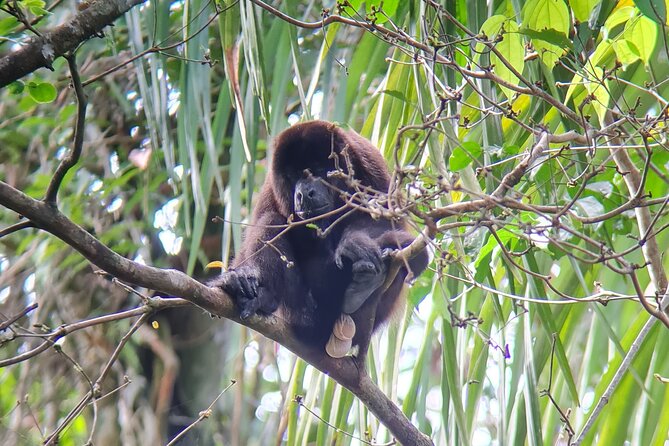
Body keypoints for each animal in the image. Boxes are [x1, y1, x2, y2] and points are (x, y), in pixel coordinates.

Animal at [213, 120, 428, 358]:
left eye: (316, 170)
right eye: (293, 176)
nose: (303, 193)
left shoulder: (368, 161)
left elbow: (386, 219)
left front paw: (355, 244)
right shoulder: (271, 188)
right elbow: (260, 227)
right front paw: (240, 277)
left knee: (412, 254)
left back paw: (365, 286)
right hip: (297, 308)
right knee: (271, 221)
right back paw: (263, 297)